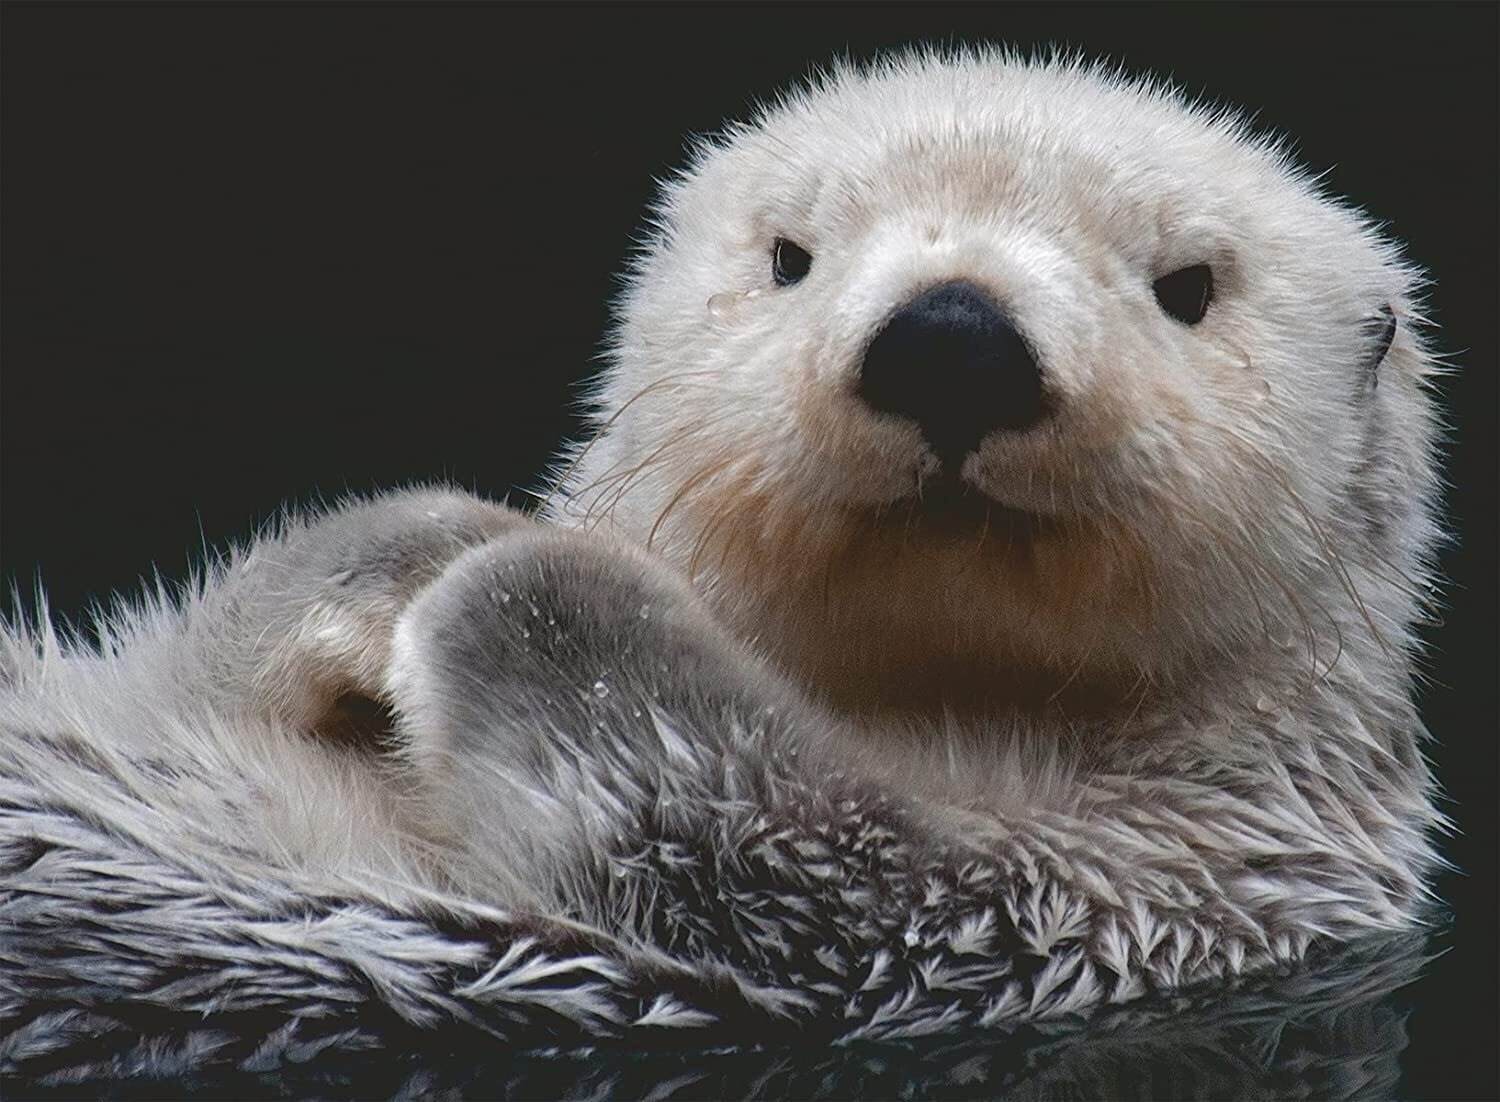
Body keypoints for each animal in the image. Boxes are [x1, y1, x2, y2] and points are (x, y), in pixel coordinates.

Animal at [1, 50, 1444, 1079]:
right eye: (790, 256)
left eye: (1189, 285)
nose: (954, 338)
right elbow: (193, 653)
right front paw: (415, 549)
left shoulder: (1122, 894)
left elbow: (766, 828)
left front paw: (509, 578)